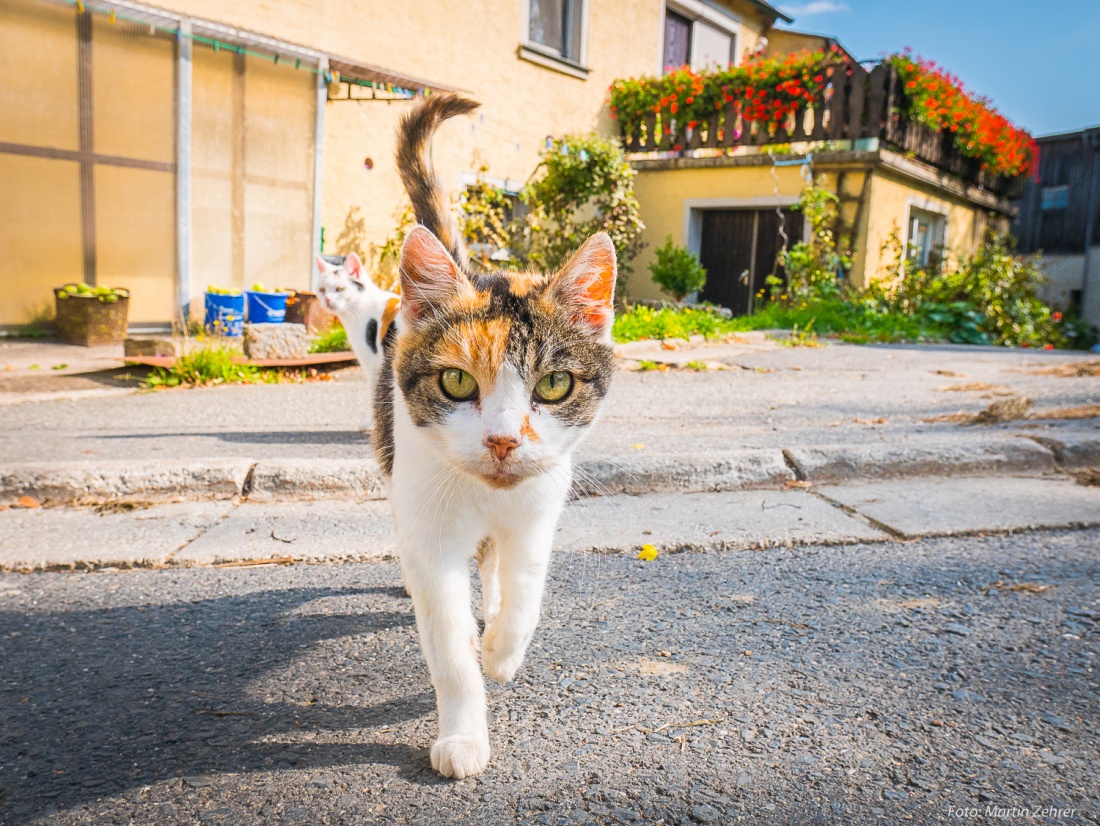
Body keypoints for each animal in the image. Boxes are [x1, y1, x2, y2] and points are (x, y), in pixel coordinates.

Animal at [376, 93, 620, 778]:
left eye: (555, 384)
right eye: (457, 381)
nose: (505, 441)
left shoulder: (540, 504)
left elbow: (528, 582)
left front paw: (502, 651)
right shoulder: (429, 530)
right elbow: (448, 644)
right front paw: (463, 736)